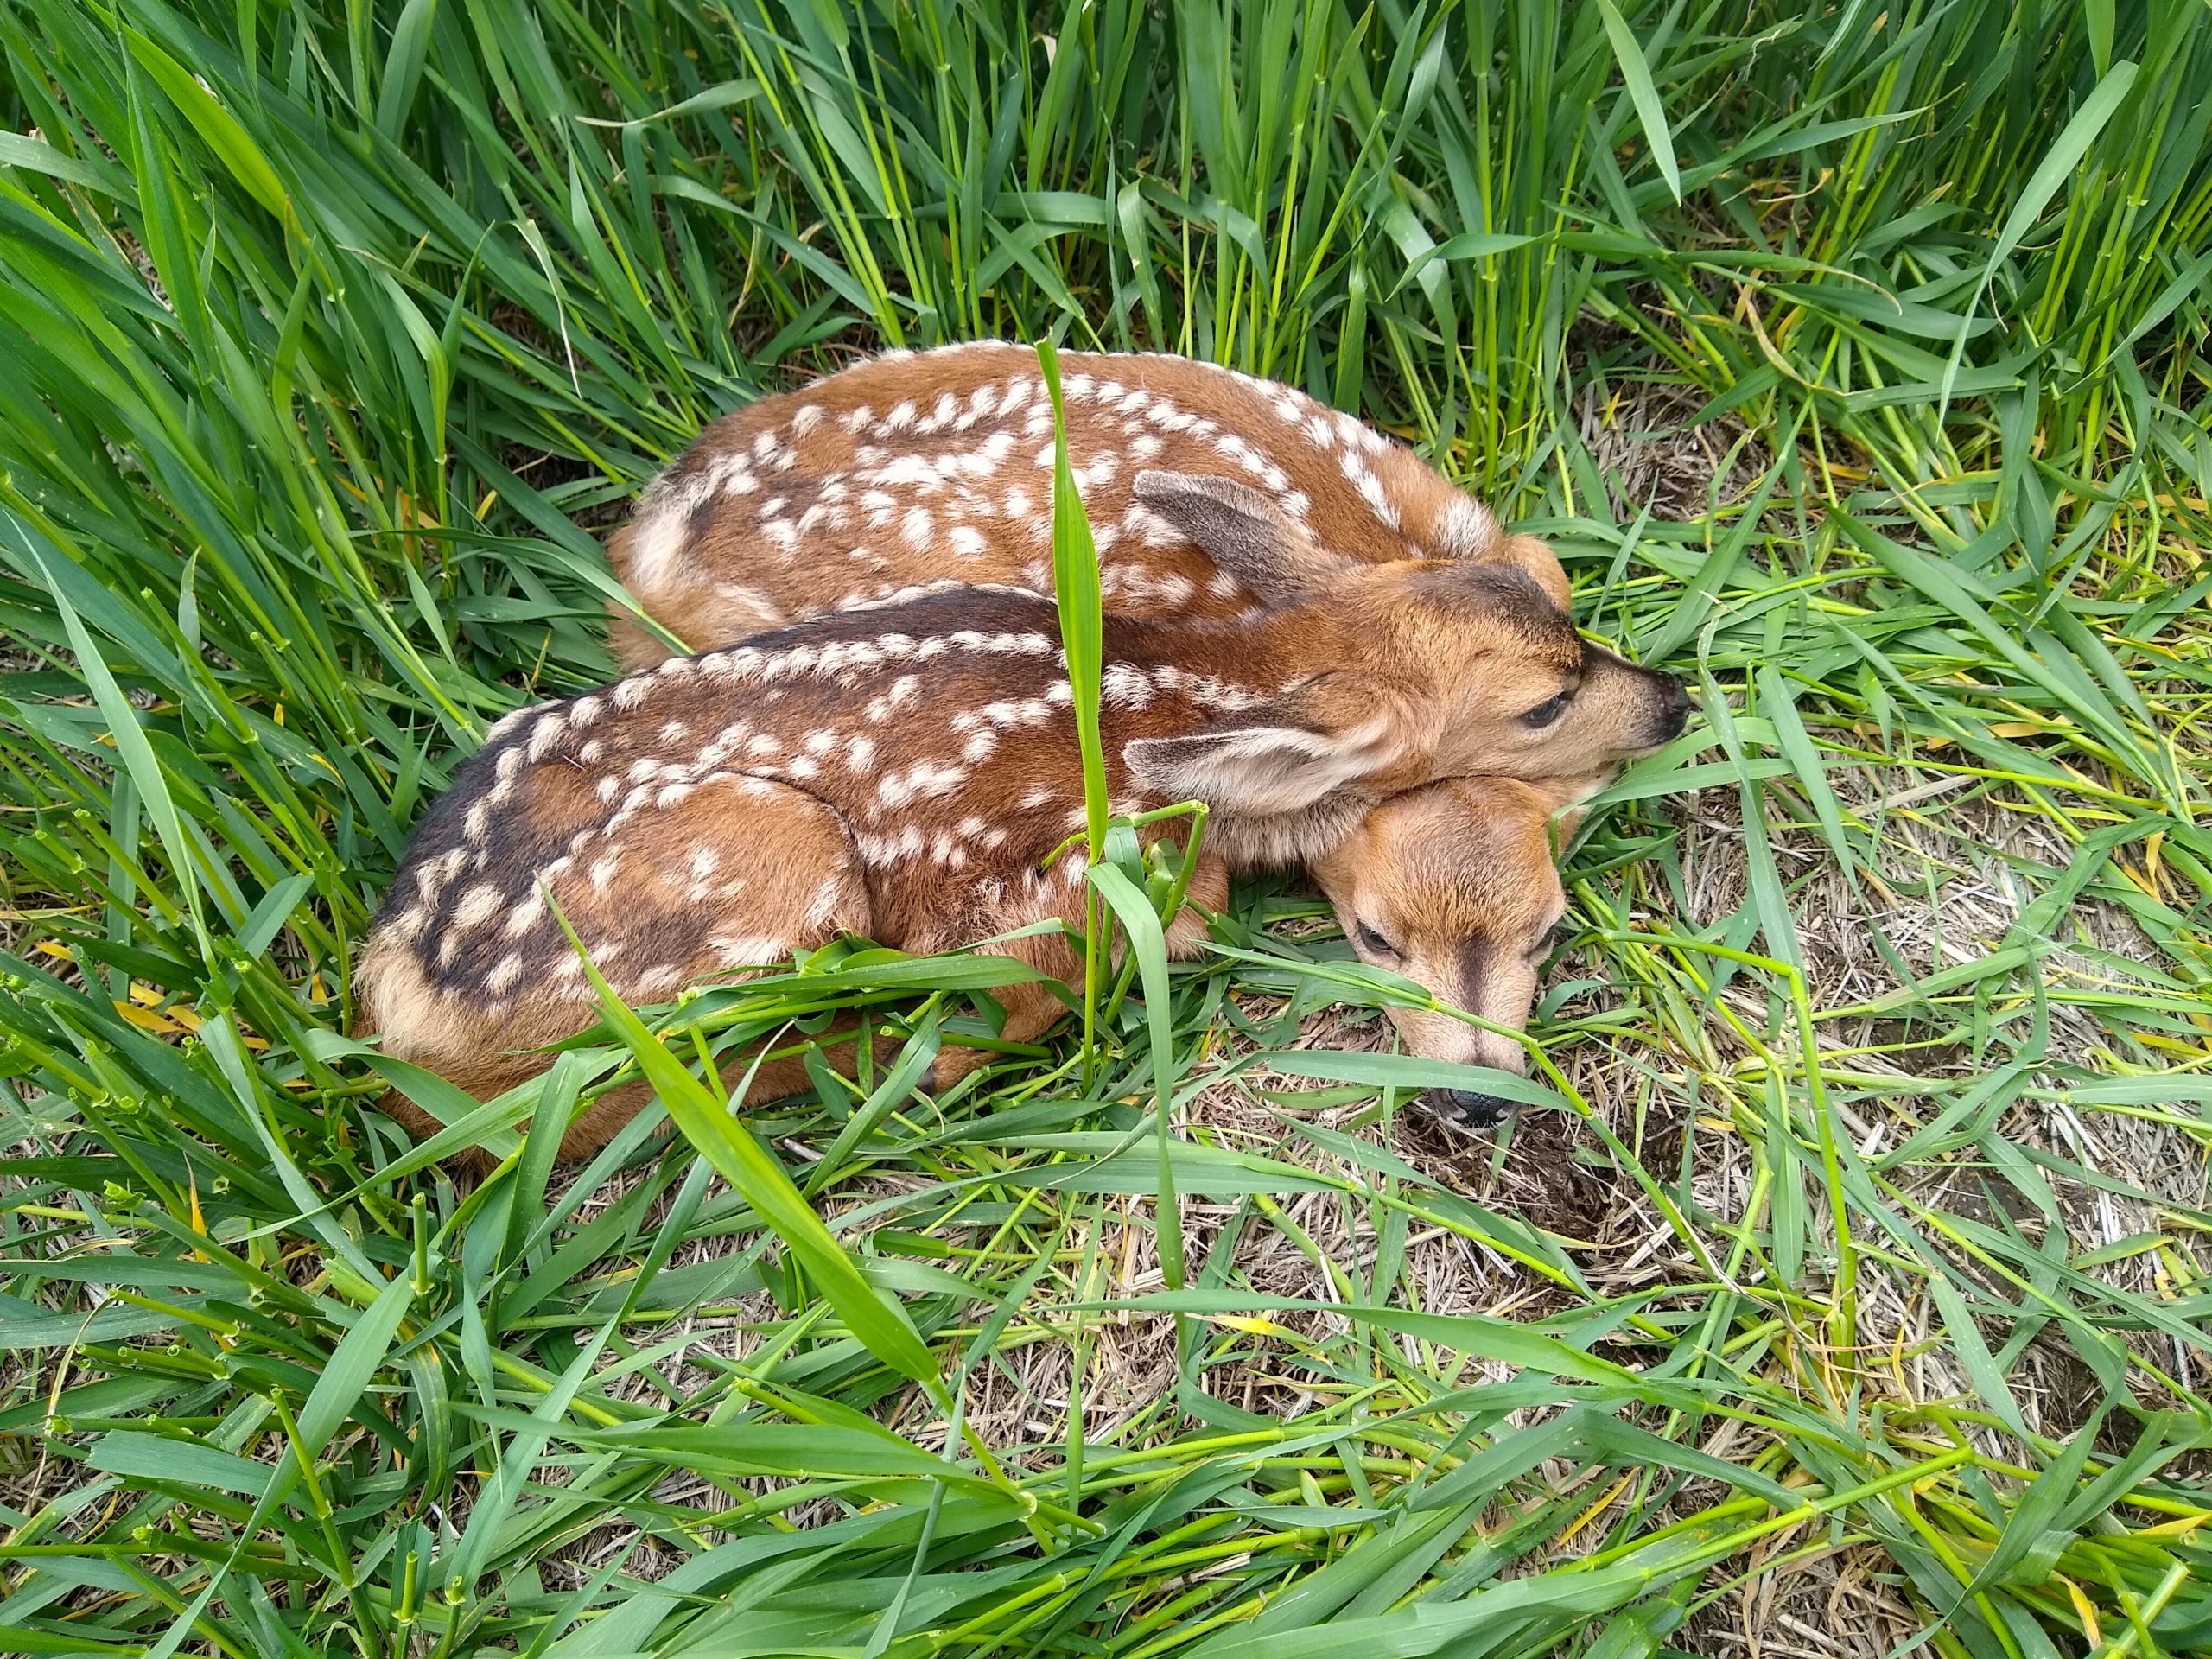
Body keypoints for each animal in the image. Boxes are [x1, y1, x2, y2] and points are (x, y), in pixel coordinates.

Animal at [361, 493, 1686, 1160]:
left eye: (1568, 623)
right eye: (1544, 702)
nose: (1674, 698)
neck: (1191, 686)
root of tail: (399, 995)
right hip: (765, 856)